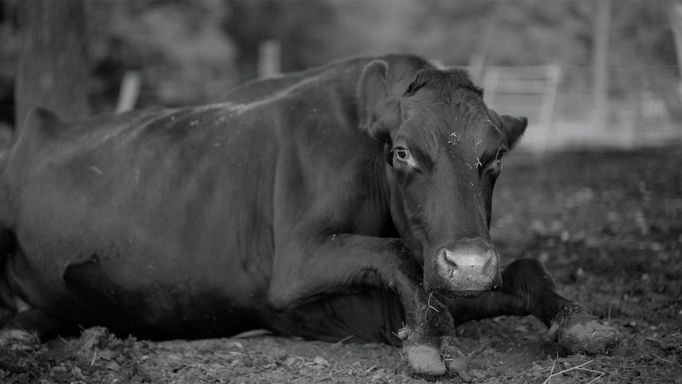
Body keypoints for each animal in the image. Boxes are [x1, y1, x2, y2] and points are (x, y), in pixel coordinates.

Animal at [0, 54, 616, 378]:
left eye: (496, 157)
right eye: (402, 152)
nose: (468, 264)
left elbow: (522, 269)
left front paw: (579, 321)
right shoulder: (295, 266)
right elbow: (397, 257)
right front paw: (427, 338)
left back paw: (24, 330)